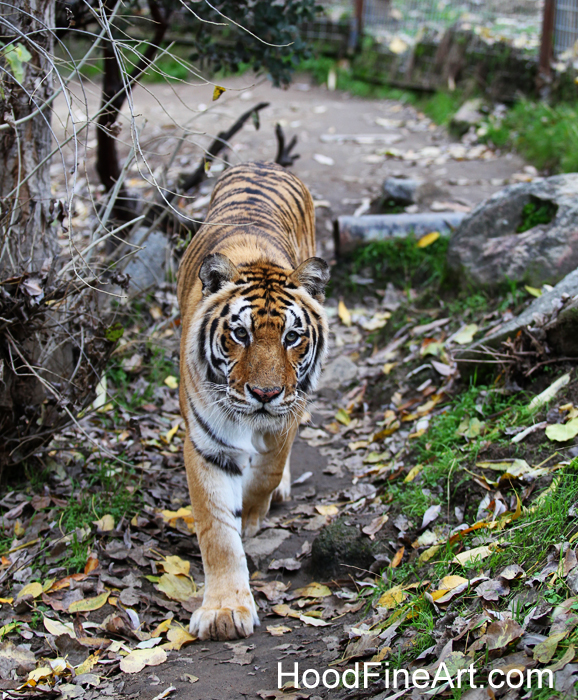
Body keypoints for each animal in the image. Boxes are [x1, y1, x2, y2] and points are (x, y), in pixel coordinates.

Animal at [176, 161, 329, 641]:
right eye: (240, 334)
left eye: (292, 337)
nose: (264, 394)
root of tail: (265, 163)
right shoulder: (206, 443)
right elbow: (216, 531)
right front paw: (225, 612)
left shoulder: (285, 418)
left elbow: (266, 473)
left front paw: (252, 512)